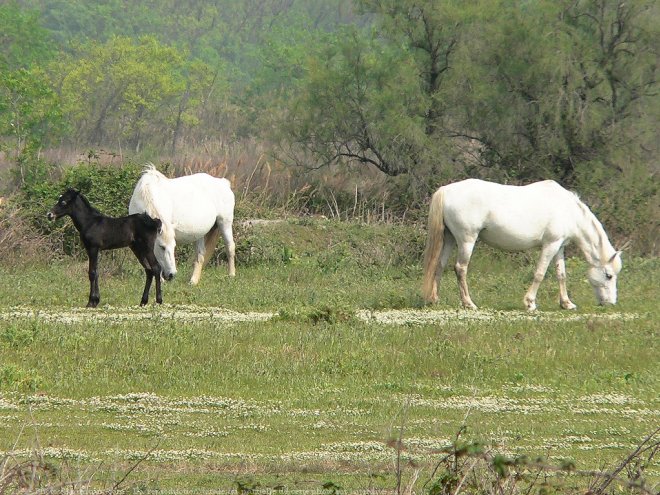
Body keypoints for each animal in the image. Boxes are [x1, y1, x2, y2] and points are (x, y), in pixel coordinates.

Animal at [422, 178, 624, 310]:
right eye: (608, 275)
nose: (610, 303)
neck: (568, 210)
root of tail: (445, 190)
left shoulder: (559, 247)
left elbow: (561, 275)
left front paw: (566, 303)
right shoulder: (550, 245)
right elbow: (540, 274)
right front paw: (530, 303)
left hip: (449, 238)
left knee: (439, 265)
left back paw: (434, 299)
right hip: (466, 240)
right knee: (460, 268)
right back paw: (469, 303)